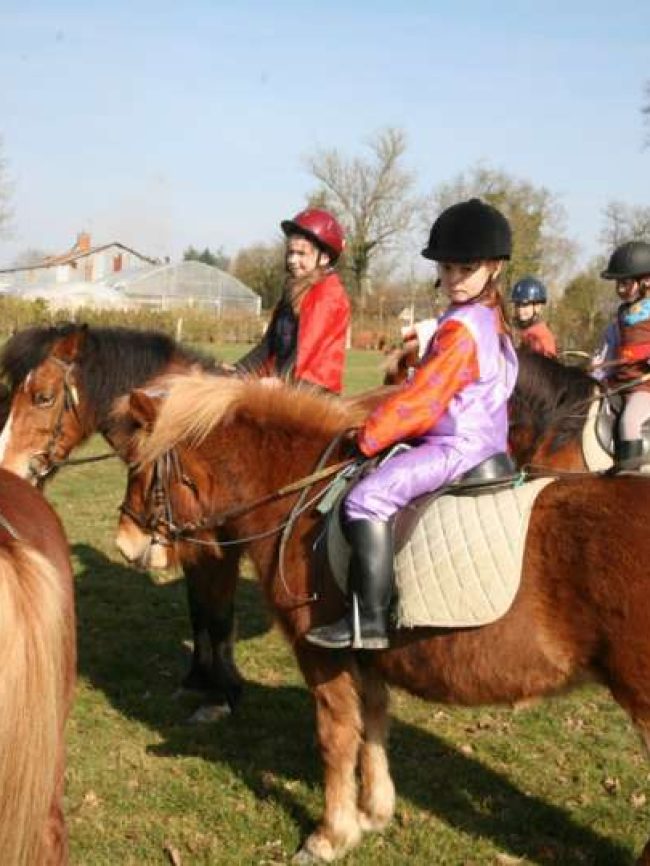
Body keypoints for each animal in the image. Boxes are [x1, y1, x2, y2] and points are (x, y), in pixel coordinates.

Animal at [0, 320, 240, 712]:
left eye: (43, 397)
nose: (7, 470)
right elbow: (199, 610)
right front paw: (197, 682)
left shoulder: (223, 551)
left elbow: (218, 615)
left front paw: (223, 696)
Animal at [114, 372, 648, 864]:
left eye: (138, 467)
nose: (125, 544)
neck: (302, 501)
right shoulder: (366, 654)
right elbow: (372, 724)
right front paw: (374, 812)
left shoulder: (319, 655)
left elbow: (335, 736)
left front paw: (331, 835)